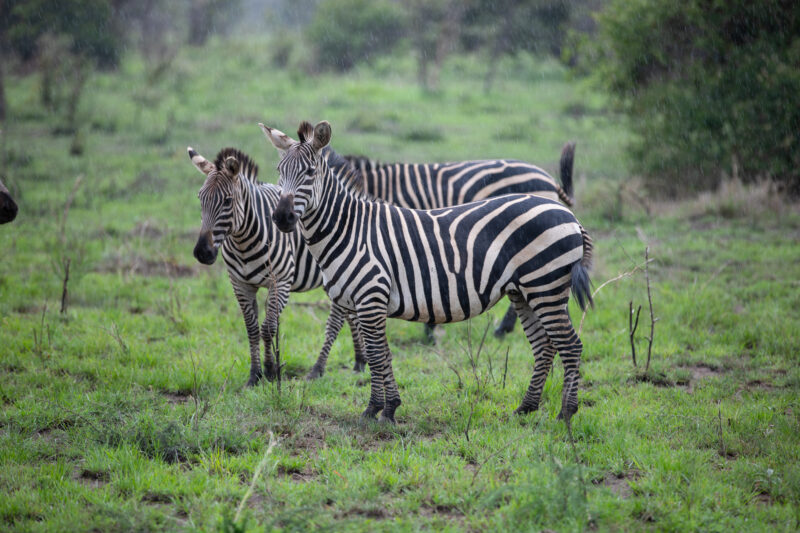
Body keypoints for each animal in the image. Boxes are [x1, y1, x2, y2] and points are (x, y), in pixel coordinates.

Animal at [187, 146, 366, 385]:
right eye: (200, 198)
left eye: (227, 200)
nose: (202, 252)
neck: (243, 242)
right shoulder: (240, 284)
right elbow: (252, 329)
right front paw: (254, 375)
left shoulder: (280, 283)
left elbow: (268, 327)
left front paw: (271, 371)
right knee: (351, 314)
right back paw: (360, 361)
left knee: (337, 319)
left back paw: (318, 368)